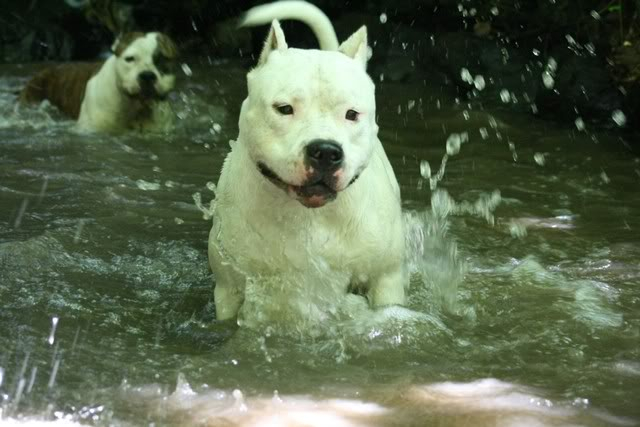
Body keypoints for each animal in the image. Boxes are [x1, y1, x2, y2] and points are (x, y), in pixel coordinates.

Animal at [210, 0, 408, 320]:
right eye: (284, 108)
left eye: (352, 114)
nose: (325, 151)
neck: (310, 217)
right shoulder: (229, 290)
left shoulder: (386, 280)